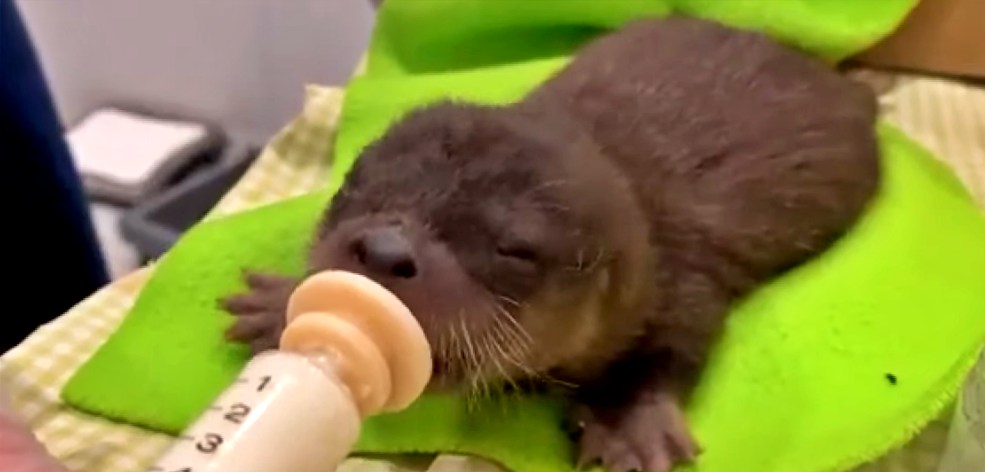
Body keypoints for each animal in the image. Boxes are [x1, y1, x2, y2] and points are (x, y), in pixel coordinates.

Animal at [222, 17, 880, 472]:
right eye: (355, 185)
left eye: (513, 248)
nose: (385, 250)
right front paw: (279, 304)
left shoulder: (685, 281)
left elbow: (676, 347)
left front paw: (628, 425)